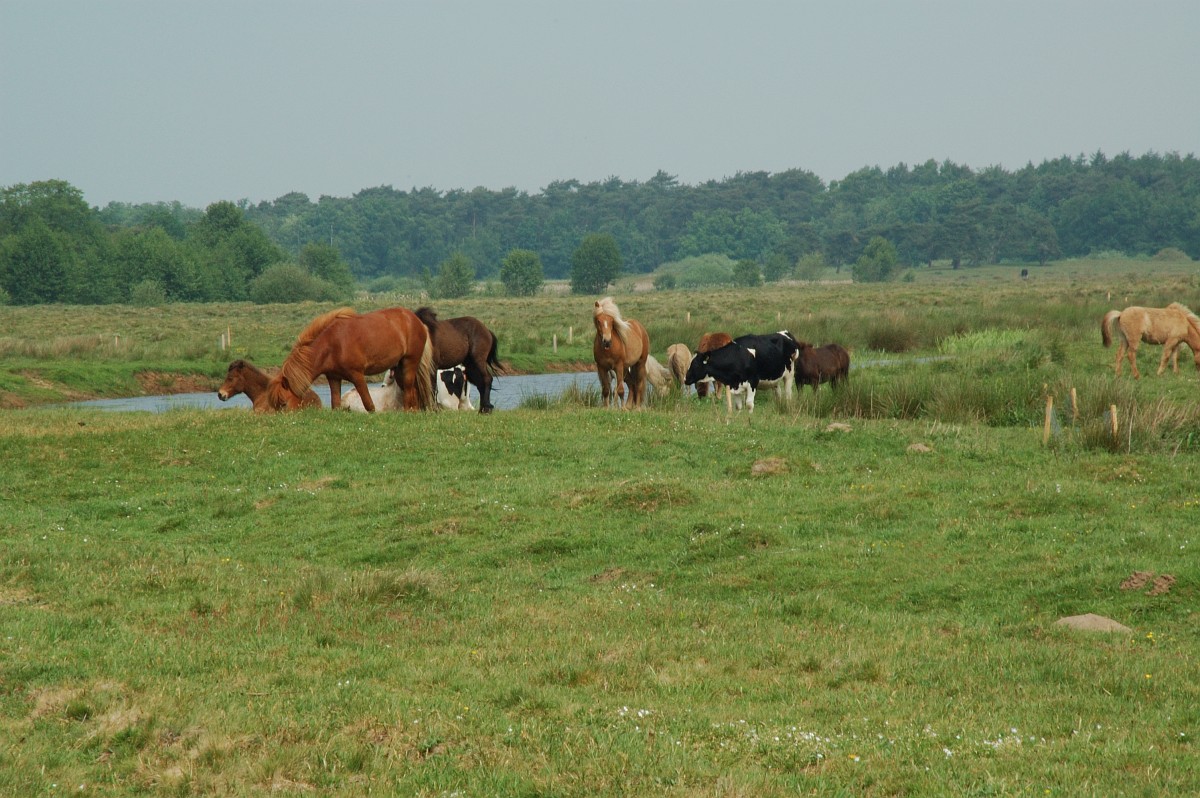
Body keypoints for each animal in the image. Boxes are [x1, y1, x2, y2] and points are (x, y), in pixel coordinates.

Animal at [268, 307, 436, 411]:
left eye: (283, 403)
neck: (332, 344)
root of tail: (416, 320)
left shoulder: (357, 376)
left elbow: (369, 405)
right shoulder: (334, 378)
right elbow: (335, 404)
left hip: (409, 362)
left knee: (409, 390)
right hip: (400, 367)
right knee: (413, 392)